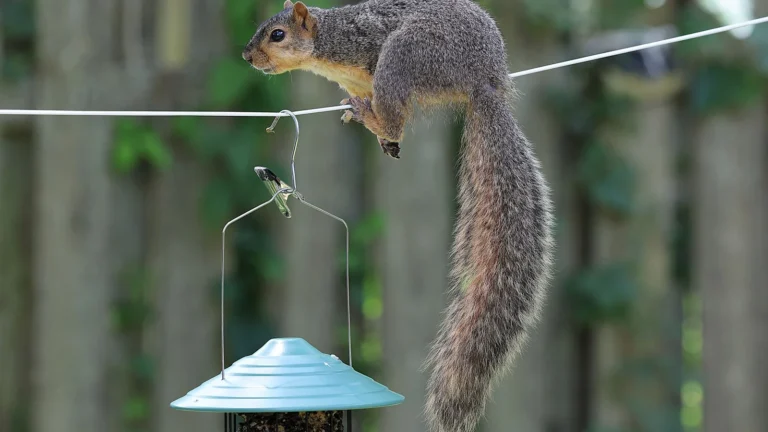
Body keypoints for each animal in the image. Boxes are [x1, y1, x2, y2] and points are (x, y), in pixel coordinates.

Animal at [242, 1, 554, 431]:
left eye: (278, 35)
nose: (247, 56)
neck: (328, 47)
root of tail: (484, 78)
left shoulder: (366, 47)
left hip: (405, 57)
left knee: (395, 117)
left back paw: (370, 118)